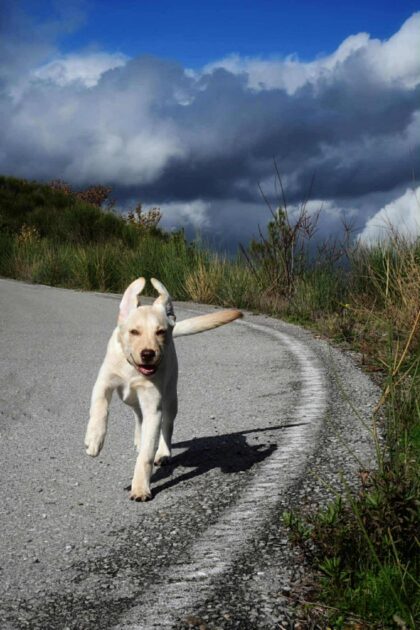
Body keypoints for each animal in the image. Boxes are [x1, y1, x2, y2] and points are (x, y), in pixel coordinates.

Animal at [84, 277, 242, 501]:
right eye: (134, 332)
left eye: (160, 332)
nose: (148, 354)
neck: (133, 370)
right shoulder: (103, 383)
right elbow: (99, 409)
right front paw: (94, 440)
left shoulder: (154, 406)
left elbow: (147, 454)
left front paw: (140, 487)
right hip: (131, 399)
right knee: (137, 416)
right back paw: (137, 438)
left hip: (170, 400)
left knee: (166, 427)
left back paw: (163, 453)